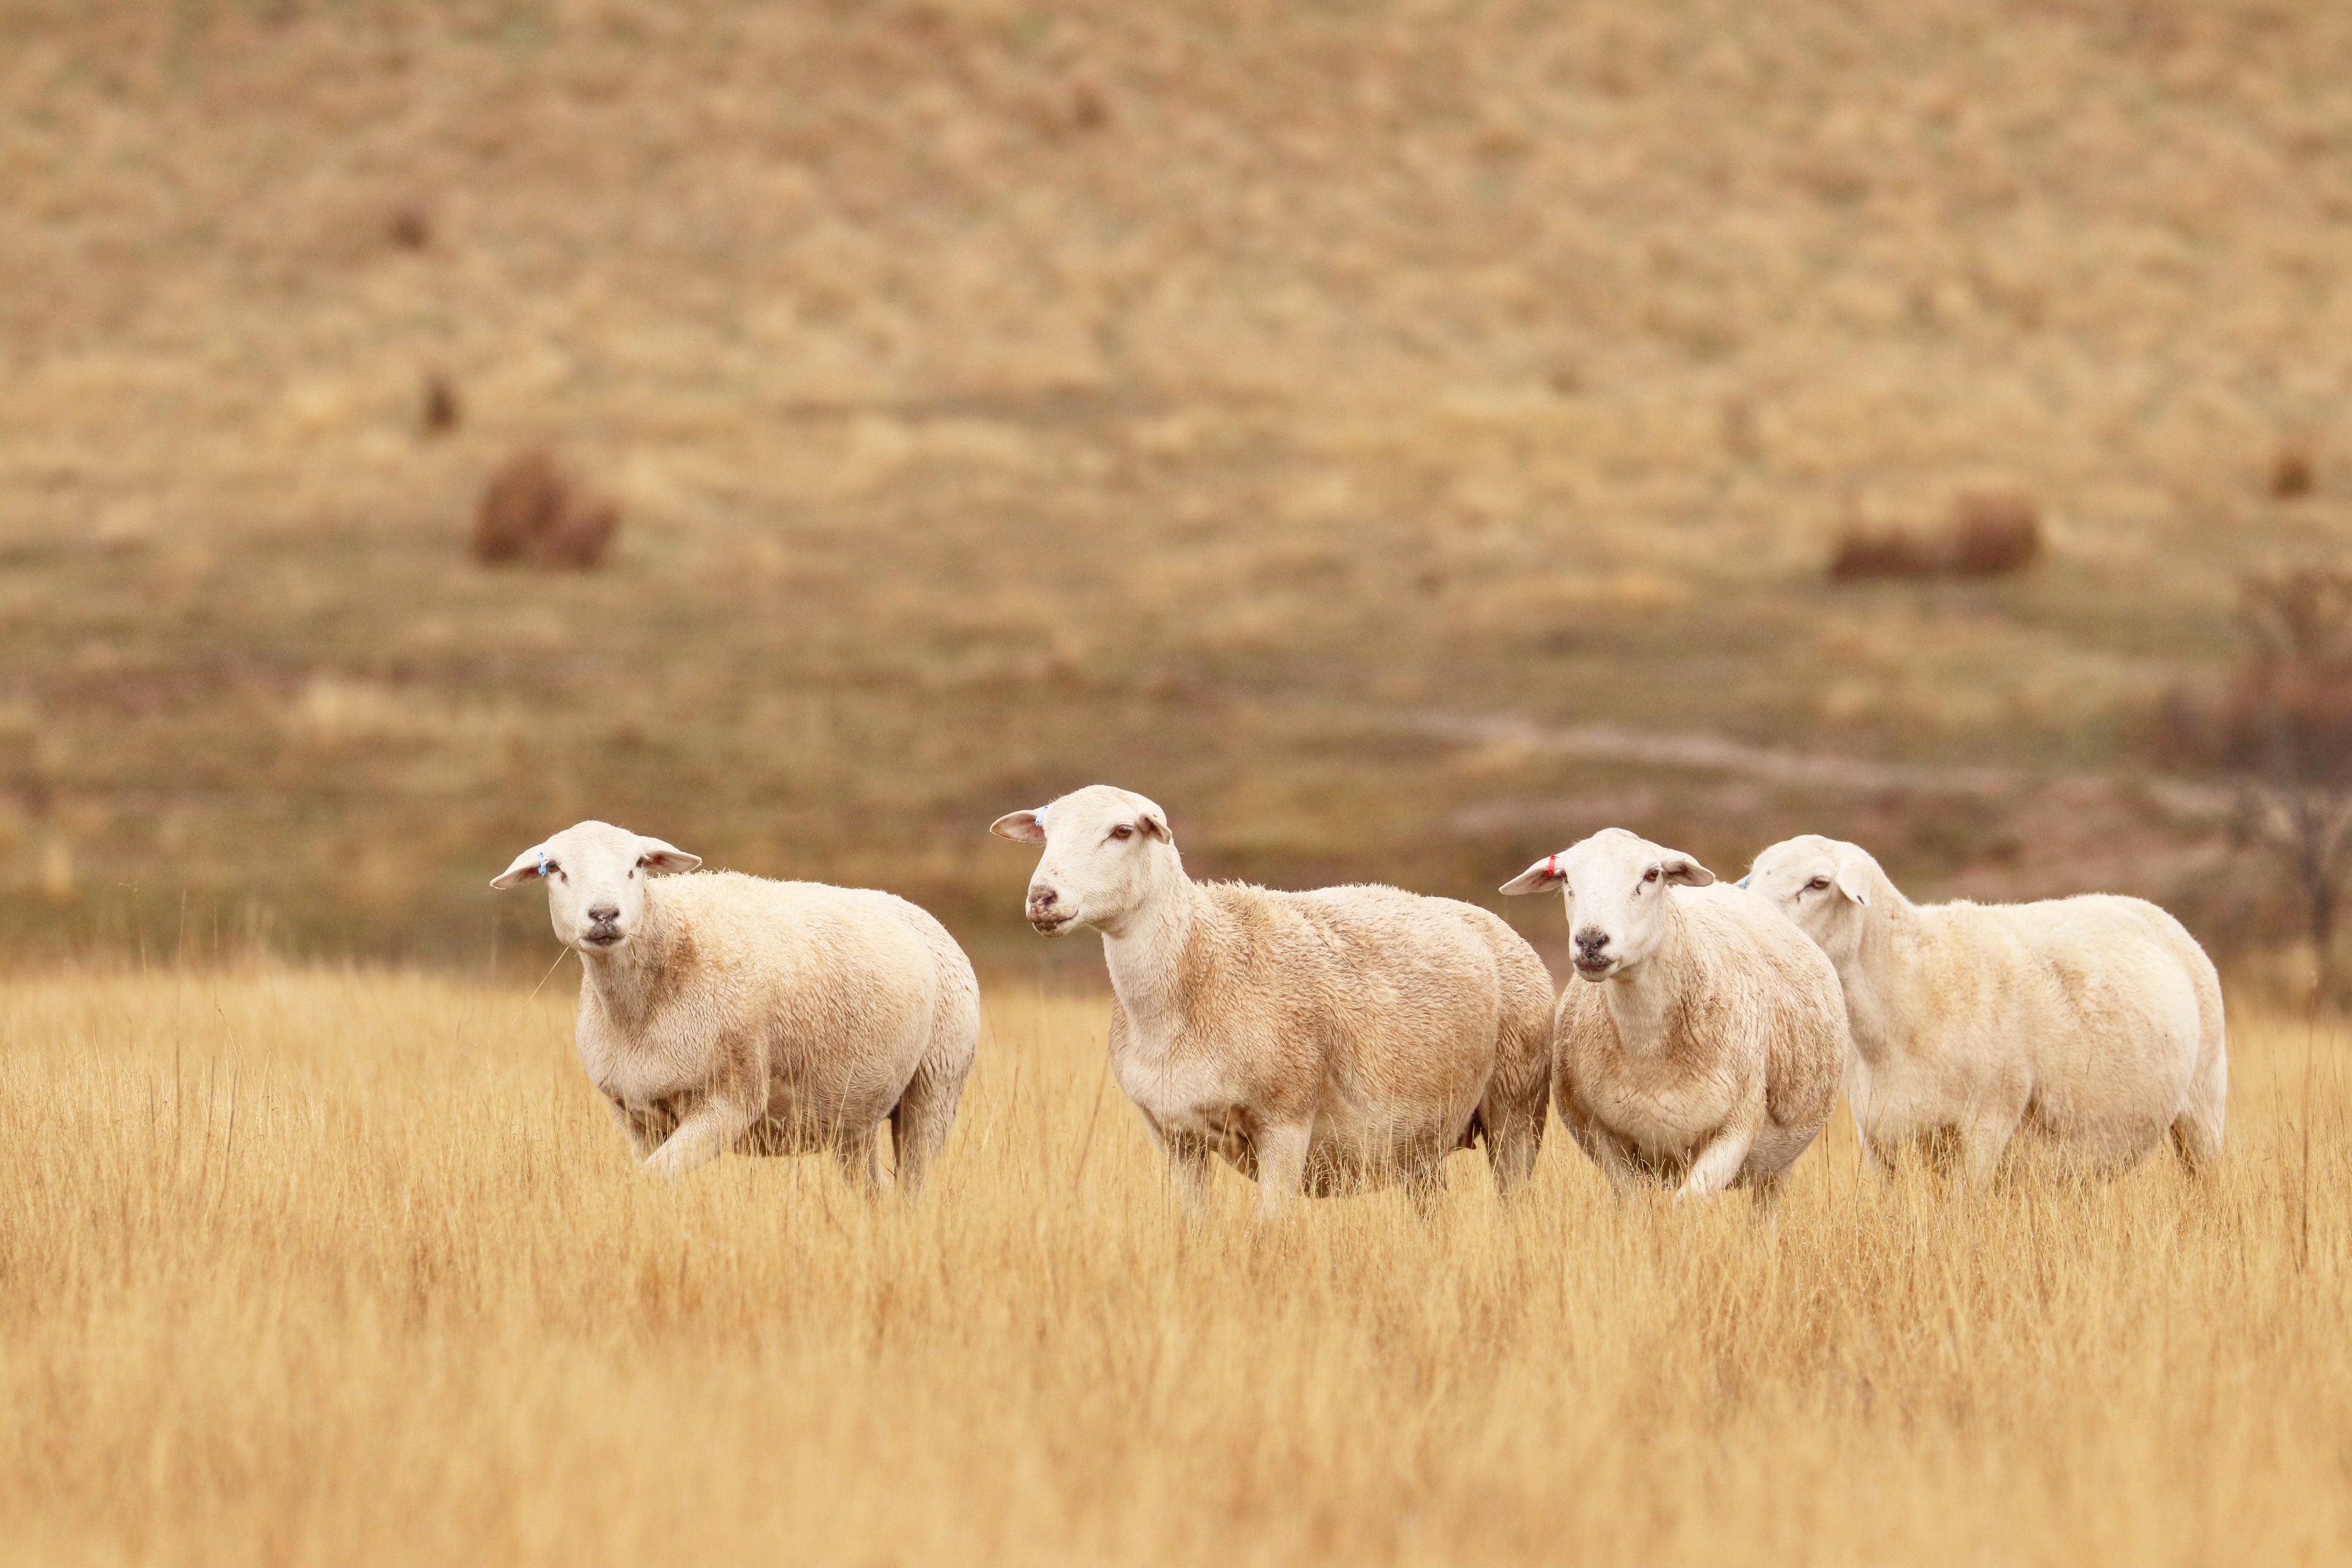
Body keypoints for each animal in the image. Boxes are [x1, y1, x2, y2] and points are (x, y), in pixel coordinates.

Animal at [491, 820, 979, 1194]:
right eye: (555, 869)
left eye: (637, 866)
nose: (605, 915)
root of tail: (916, 911)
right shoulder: (634, 1112)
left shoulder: (730, 1099)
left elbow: (651, 1180)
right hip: (855, 1110)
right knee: (873, 1192)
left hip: (937, 1083)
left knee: (913, 1185)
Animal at [989, 785, 1552, 1219]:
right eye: (1045, 831)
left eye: (1123, 831)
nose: (1042, 899)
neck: (1197, 966)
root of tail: (1488, 919)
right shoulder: (1174, 1136)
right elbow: (1192, 1228)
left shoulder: (1285, 1124)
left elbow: (1269, 1233)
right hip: (1420, 1140)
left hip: (1516, 1108)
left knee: (1515, 1203)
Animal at [1499, 828, 1847, 1200]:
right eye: (1565, 877)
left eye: (1652, 875)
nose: (1591, 941)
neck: (1648, 1050)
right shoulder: (1599, 1134)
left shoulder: (1737, 1128)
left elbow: (1690, 1202)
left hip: (1777, 1166)